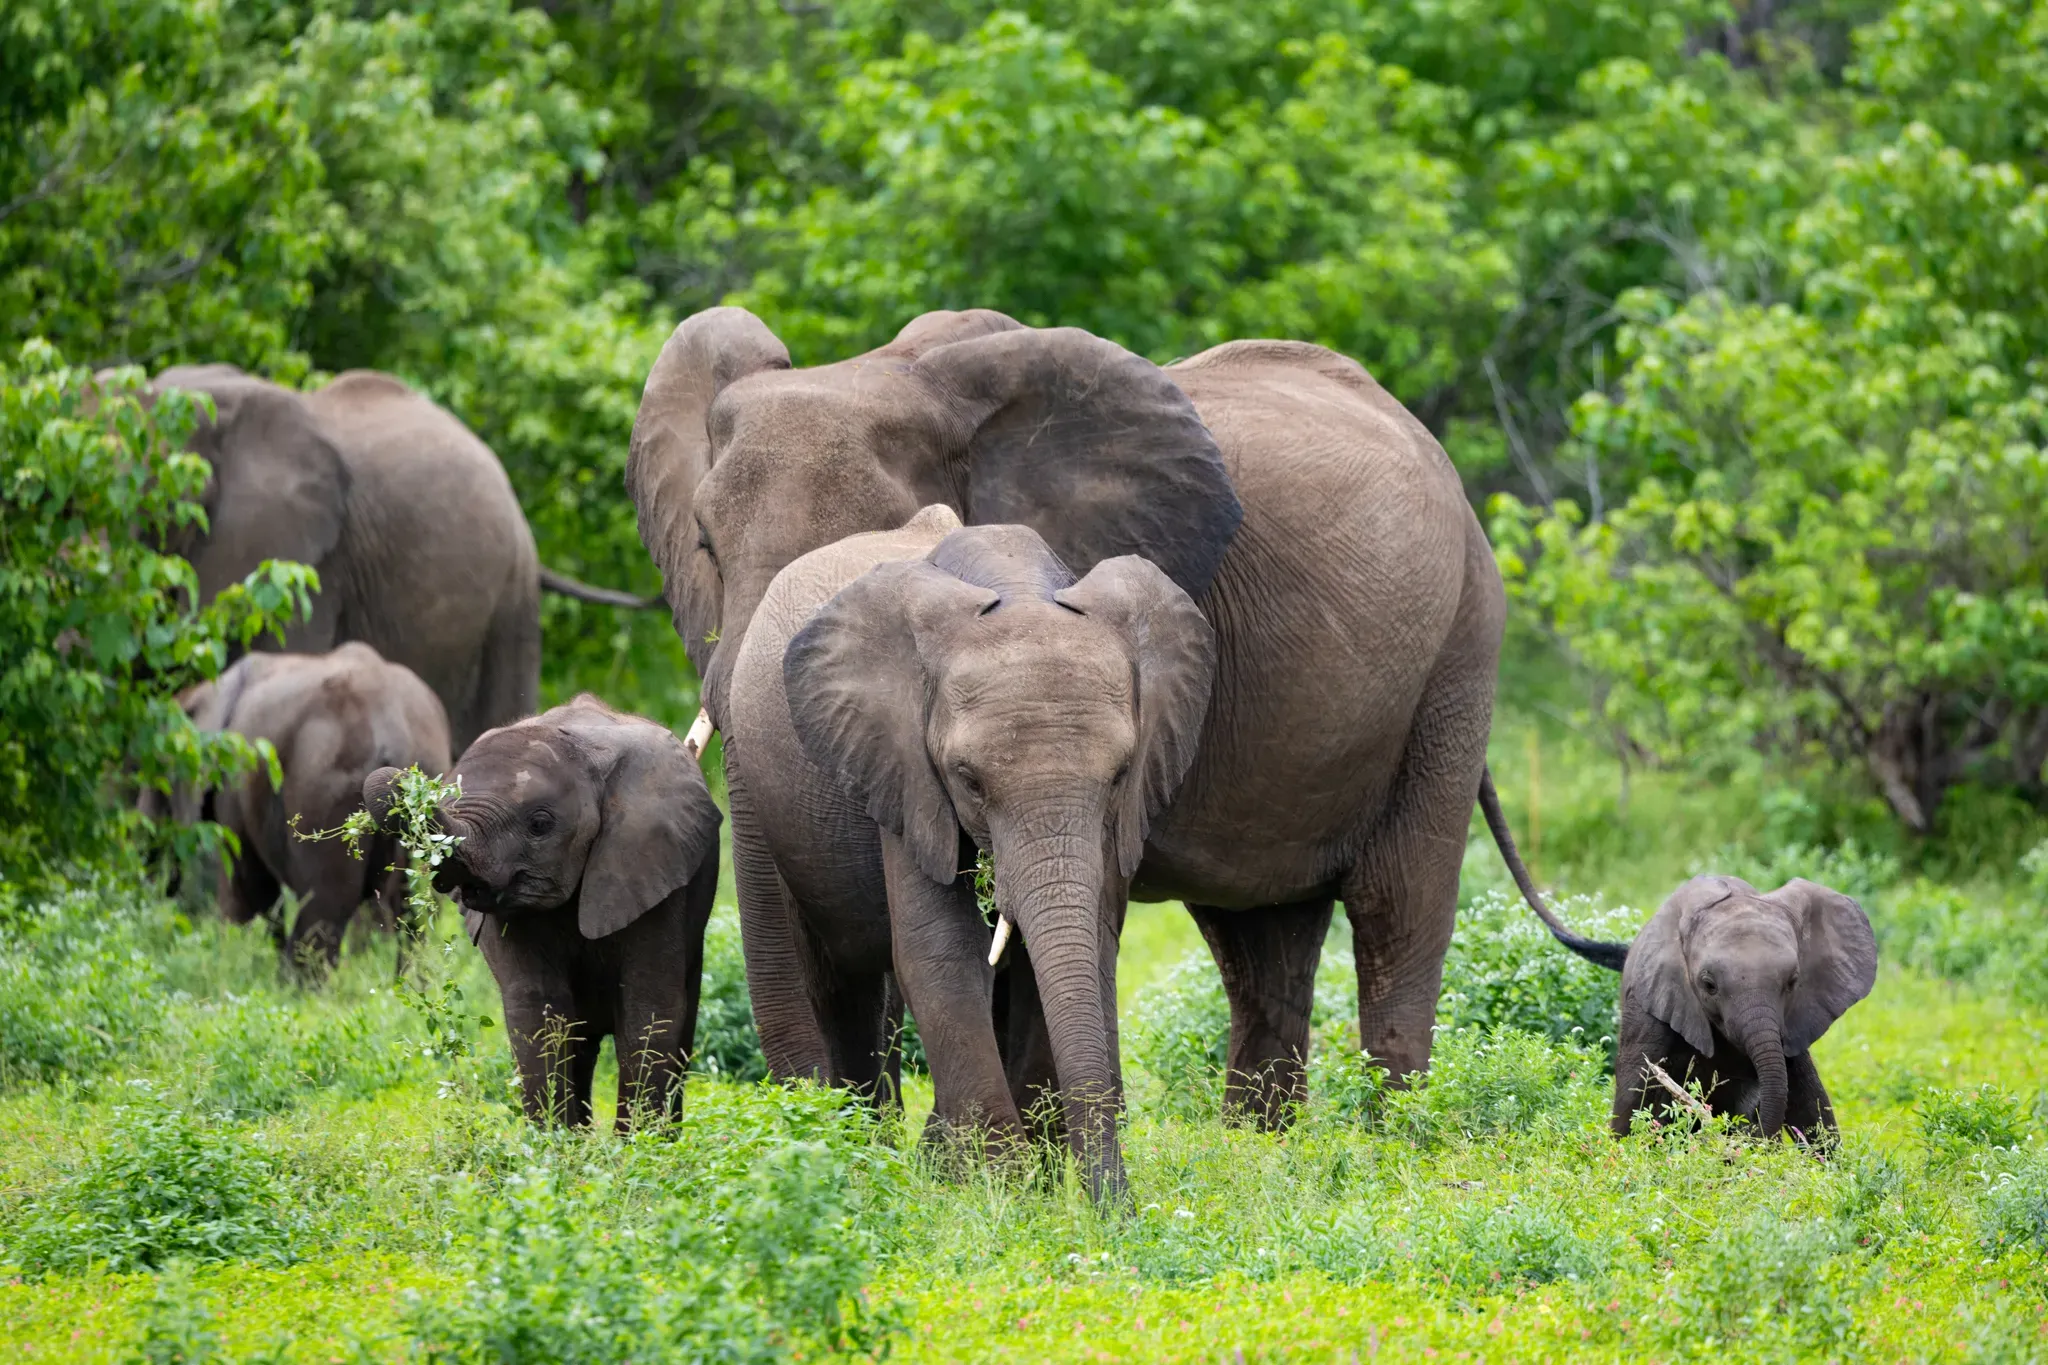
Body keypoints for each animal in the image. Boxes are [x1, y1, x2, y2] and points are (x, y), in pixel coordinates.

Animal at [168, 642, 451, 967]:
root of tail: (397, 734)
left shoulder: (234, 779)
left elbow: (246, 883)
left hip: (325, 787)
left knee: (324, 907)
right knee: (415, 908)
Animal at [365, 695, 722, 1129]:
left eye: (539, 824)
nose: (403, 775)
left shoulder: (651, 863)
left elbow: (650, 1009)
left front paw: (639, 1143)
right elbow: (538, 1011)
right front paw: (553, 1143)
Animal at [727, 511, 1214, 1191]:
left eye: (1119, 774)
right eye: (969, 780)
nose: (1121, 1208)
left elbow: (1087, 941)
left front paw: (1031, 1182)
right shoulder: (904, 765)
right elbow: (942, 952)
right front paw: (1001, 1189)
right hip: (751, 779)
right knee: (826, 977)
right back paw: (843, 1150)